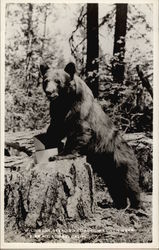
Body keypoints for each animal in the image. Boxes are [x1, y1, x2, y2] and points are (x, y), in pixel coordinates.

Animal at [39, 62, 140, 209]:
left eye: (58, 81)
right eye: (46, 80)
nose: (49, 92)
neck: (66, 99)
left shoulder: (80, 108)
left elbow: (80, 131)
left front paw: (59, 155)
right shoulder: (57, 110)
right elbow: (55, 129)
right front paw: (47, 144)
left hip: (122, 160)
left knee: (130, 182)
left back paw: (136, 206)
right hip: (108, 167)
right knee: (115, 186)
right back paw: (119, 204)